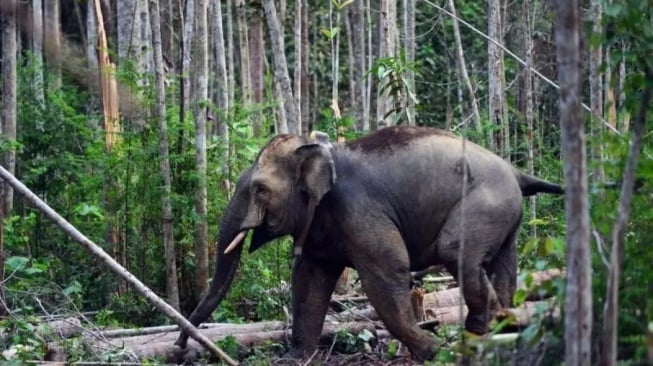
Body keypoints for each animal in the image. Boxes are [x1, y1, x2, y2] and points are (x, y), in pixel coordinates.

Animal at [176, 125, 564, 360]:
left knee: (457, 253)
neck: (321, 151)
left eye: (260, 190)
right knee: (503, 265)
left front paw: (435, 351)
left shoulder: (359, 209)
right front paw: (296, 358)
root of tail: (516, 172)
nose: (181, 348)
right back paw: (503, 327)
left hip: (486, 204)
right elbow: (308, 282)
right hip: (506, 216)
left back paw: (474, 339)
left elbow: (388, 271)